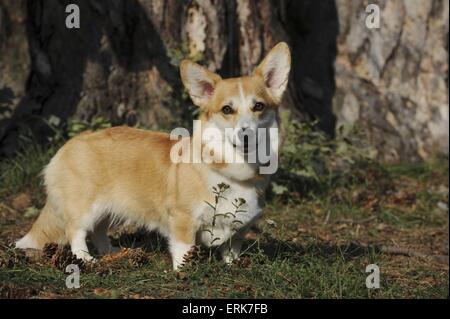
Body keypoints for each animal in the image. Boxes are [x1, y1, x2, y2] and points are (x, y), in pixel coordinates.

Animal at [14, 42, 292, 270]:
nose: (246, 136)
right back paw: (85, 259)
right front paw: (185, 271)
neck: (232, 168)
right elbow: (184, 248)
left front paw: (233, 266)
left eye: (259, 107)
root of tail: (68, 145)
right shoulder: (182, 220)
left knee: (99, 230)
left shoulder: (239, 229)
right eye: (226, 109)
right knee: (76, 231)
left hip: (108, 208)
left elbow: (231, 248)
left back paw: (111, 251)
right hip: (86, 207)